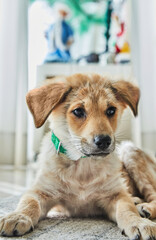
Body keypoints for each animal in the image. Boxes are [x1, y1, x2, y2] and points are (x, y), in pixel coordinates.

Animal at [0, 74, 156, 239]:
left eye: (111, 110)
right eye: (78, 111)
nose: (104, 141)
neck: (82, 164)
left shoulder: (116, 195)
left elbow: (127, 209)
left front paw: (139, 223)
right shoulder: (41, 191)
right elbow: (29, 203)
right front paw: (17, 216)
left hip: (130, 151)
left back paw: (145, 208)